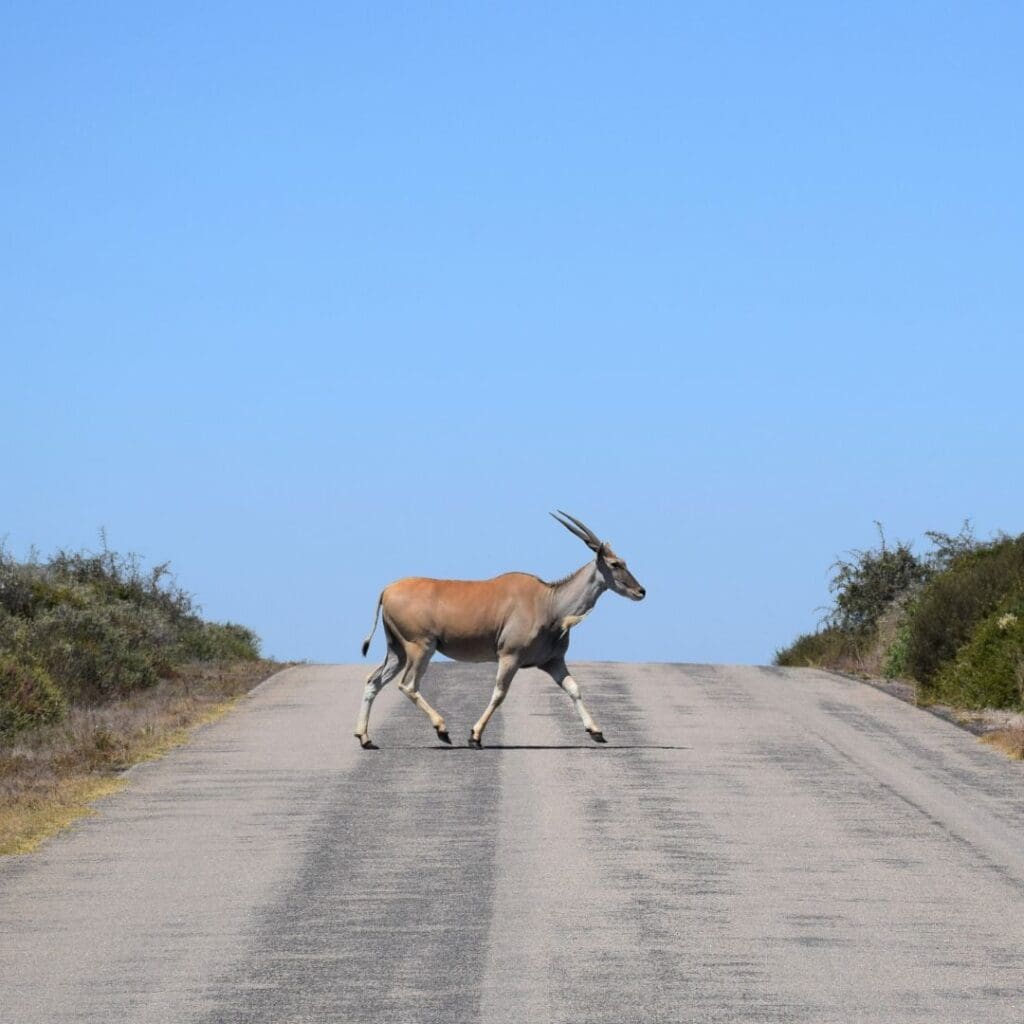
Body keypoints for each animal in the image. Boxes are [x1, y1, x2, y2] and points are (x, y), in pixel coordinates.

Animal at [356, 516, 643, 749]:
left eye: (623, 562)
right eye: (615, 563)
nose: (641, 591)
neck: (549, 603)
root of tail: (387, 590)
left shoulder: (553, 662)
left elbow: (574, 688)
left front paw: (596, 731)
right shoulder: (509, 657)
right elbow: (499, 693)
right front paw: (474, 736)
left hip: (397, 651)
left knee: (373, 681)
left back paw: (365, 738)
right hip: (421, 648)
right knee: (408, 685)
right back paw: (442, 729)